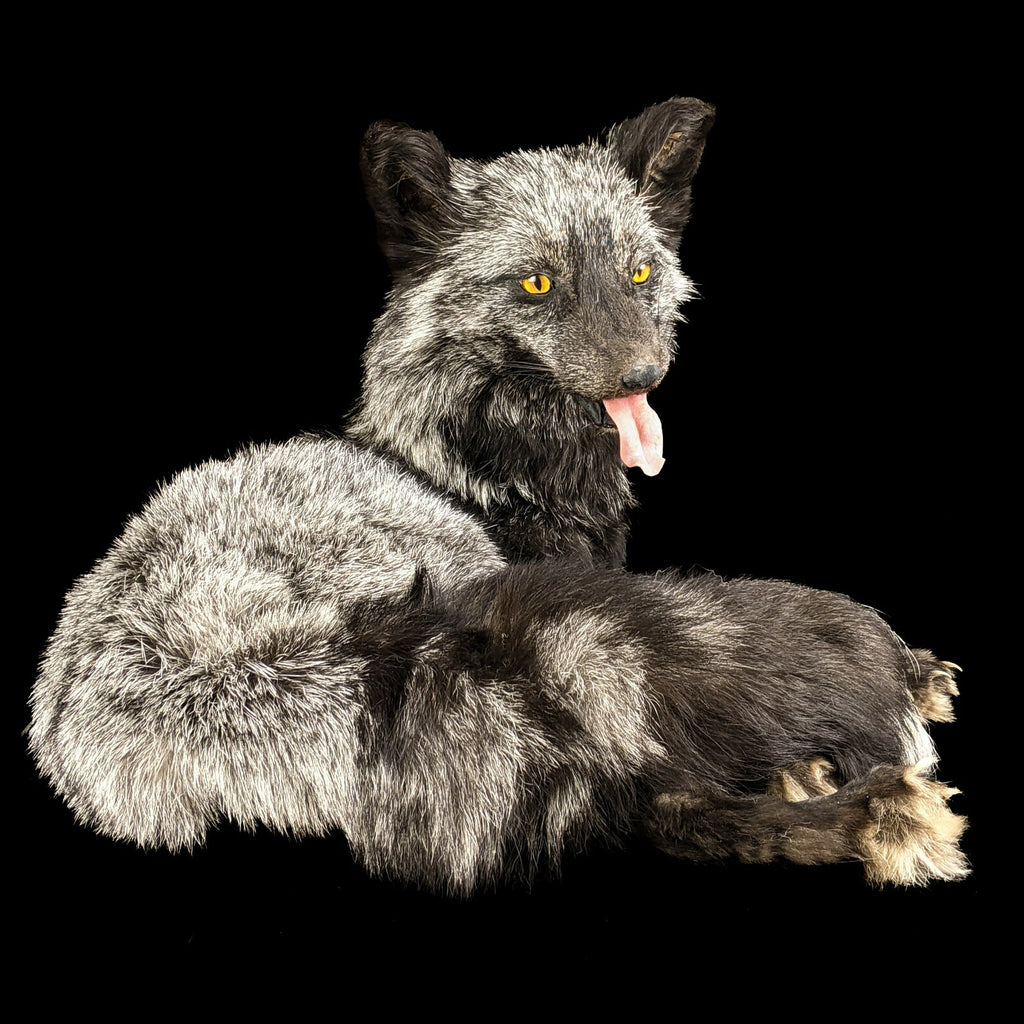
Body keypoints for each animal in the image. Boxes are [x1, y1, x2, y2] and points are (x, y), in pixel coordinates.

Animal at [27, 98, 968, 894]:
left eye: (638, 273)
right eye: (538, 284)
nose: (643, 375)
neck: (469, 472)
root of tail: (219, 664)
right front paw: (908, 675)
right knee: (662, 804)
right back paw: (864, 809)